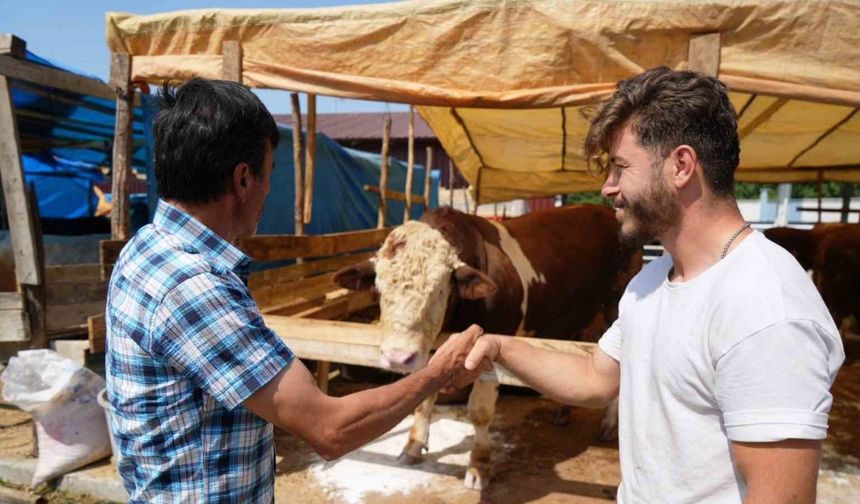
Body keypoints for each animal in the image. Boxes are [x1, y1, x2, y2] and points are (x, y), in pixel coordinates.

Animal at [332, 204, 640, 488]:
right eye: (379, 287)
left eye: (440, 290)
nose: (398, 357)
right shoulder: (430, 351)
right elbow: (423, 399)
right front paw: (413, 446)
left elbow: (479, 412)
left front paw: (479, 465)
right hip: (578, 315)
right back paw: (563, 411)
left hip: (614, 305)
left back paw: (608, 423)